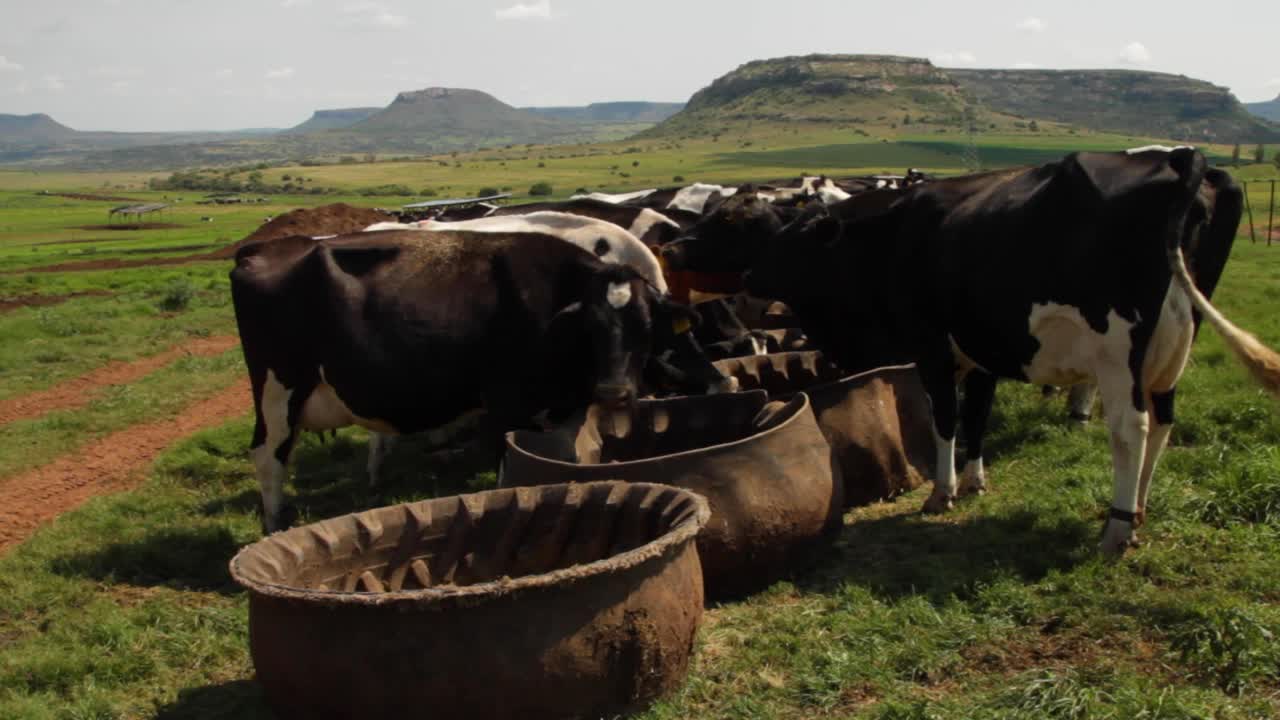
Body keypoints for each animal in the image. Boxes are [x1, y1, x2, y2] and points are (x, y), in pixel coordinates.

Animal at [230, 229, 702, 532]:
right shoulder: (504, 406)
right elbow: (508, 472)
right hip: (278, 391)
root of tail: (263, 251)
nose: (613, 392)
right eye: (590, 328)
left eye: (646, 327)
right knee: (268, 457)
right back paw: (274, 524)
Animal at [664, 148, 1279, 555]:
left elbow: (945, 416)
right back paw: (1143, 508)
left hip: (1118, 350)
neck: (885, 238)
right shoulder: (984, 350)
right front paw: (978, 480)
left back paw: (1118, 524)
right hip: (1175, 343)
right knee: (1165, 419)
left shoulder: (932, 346)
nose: (672, 246)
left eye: (742, 223)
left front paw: (944, 491)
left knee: (1132, 428)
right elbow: (977, 416)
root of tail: (1180, 159)